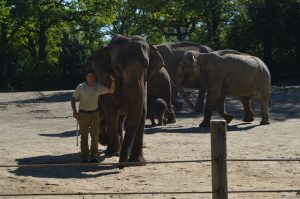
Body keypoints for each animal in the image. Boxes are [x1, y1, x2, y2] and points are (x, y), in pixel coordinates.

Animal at [90, 34, 164, 166]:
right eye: (116, 67)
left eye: (146, 65)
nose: (120, 166)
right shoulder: (105, 80)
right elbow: (111, 112)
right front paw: (113, 153)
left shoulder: (144, 83)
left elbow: (142, 111)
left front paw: (137, 162)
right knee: (104, 118)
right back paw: (110, 149)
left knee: (119, 120)